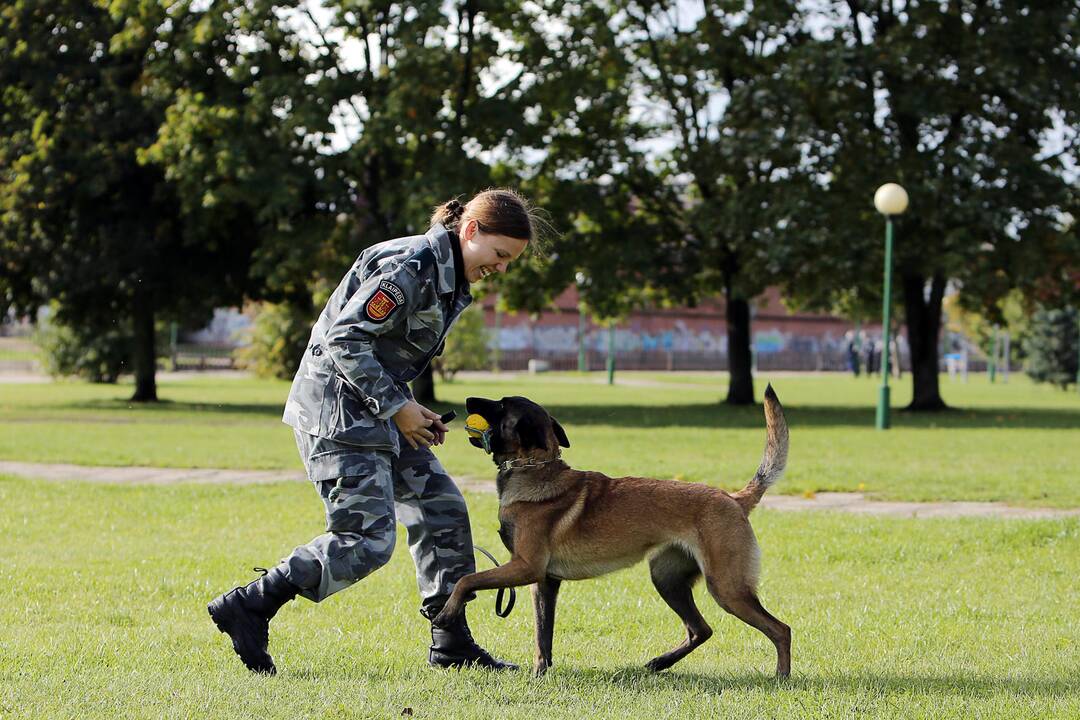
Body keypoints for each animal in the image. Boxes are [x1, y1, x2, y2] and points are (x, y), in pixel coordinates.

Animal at [432, 386, 794, 677]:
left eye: (502, 405)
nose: (468, 400)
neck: (534, 468)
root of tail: (733, 498)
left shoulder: (525, 568)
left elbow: (467, 580)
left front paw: (446, 613)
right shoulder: (544, 582)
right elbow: (542, 635)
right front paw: (540, 673)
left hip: (726, 587)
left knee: (781, 629)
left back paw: (781, 677)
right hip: (668, 580)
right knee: (700, 629)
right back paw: (660, 663)